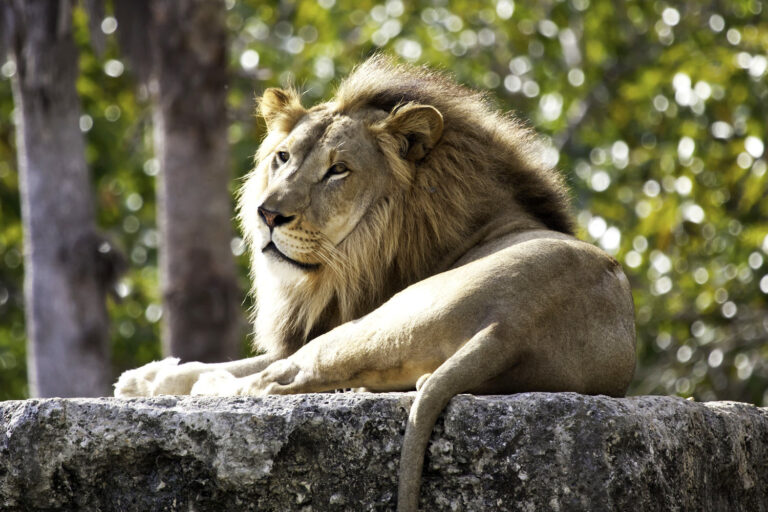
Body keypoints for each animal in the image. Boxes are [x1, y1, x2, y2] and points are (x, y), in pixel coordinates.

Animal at [114, 55, 636, 511]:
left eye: (337, 170)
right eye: (282, 157)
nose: (268, 215)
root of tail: (510, 328)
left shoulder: (331, 320)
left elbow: (250, 365)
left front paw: (154, 379)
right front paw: (142, 379)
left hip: (376, 321)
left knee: (276, 382)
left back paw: (211, 388)